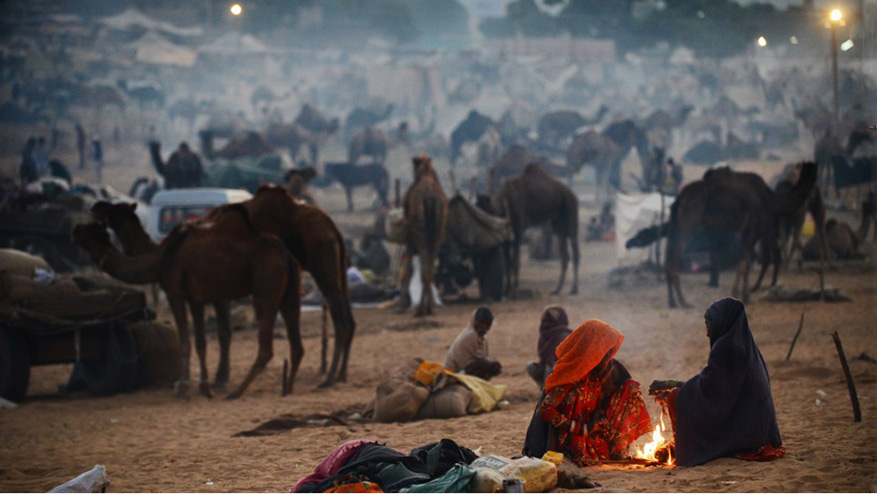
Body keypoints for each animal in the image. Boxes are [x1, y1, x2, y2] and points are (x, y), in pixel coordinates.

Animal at [69, 206, 302, 400]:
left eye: (90, 230)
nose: (76, 228)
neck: (159, 258)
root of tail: (286, 255)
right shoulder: (196, 298)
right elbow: (200, 342)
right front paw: (204, 387)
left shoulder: (176, 293)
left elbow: (185, 341)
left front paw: (182, 388)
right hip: (289, 291)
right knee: (296, 342)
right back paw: (288, 388)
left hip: (266, 285)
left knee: (266, 347)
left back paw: (236, 392)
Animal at [400, 154, 448, 316]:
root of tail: (429, 197)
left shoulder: (410, 234)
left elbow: (410, 267)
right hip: (438, 231)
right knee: (430, 268)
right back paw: (428, 309)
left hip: (419, 229)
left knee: (423, 268)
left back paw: (421, 310)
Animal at [490, 164, 580, 298]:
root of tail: (573, 195)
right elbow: (508, 262)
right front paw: (506, 289)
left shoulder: (518, 228)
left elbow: (515, 261)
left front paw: (514, 287)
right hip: (559, 225)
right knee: (565, 255)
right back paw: (557, 289)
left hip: (571, 217)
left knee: (575, 252)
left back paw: (574, 289)